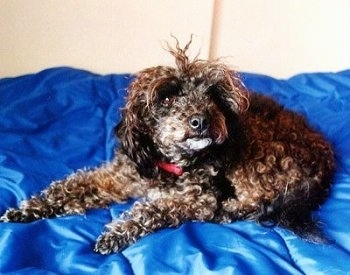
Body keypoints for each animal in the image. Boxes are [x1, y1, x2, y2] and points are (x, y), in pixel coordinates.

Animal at [0, 38, 334, 254]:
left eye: (211, 95)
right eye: (168, 98)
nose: (201, 120)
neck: (168, 164)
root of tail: (326, 157)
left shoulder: (197, 199)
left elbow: (151, 208)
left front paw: (115, 232)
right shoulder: (118, 176)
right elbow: (71, 185)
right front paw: (27, 208)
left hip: (255, 160)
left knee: (256, 200)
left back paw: (229, 209)